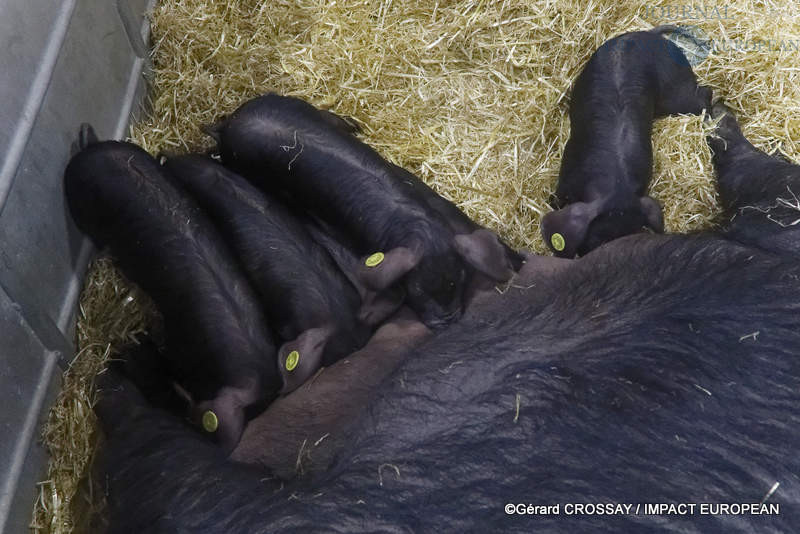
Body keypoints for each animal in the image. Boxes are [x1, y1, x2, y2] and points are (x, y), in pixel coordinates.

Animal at [544, 25, 712, 260]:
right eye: (593, 241)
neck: (614, 183)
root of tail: (650, 35)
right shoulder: (566, 176)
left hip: (675, 95)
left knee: (705, 93)